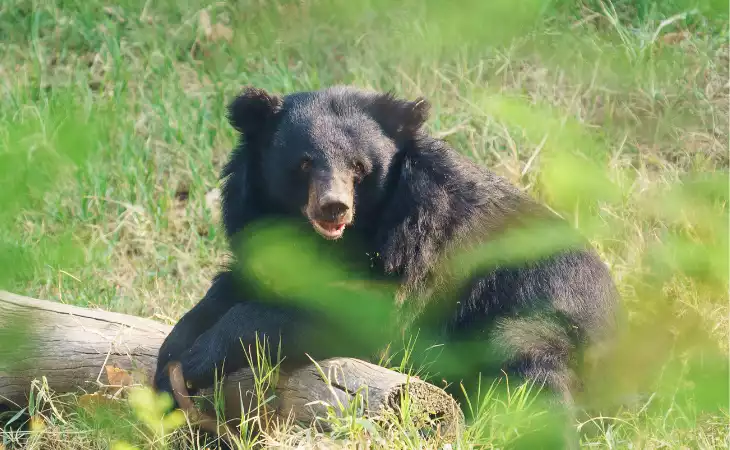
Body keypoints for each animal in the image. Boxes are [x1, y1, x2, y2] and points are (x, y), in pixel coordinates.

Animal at [153, 85, 621, 438]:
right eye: (303, 164)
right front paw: (169, 368)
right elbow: (236, 290)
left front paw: (195, 361)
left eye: (359, 167)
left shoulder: (416, 245)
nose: (333, 208)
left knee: (531, 376)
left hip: (543, 320)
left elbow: (358, 316)